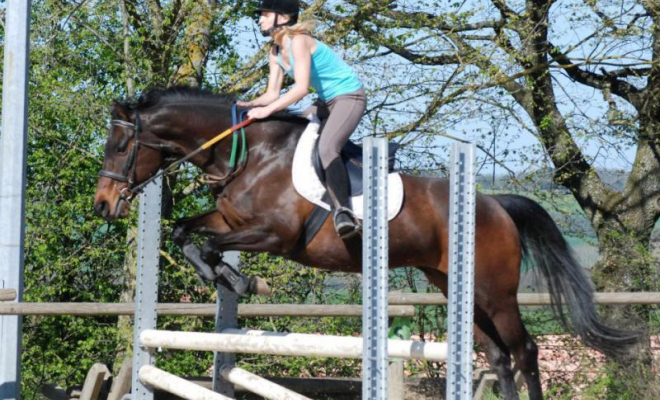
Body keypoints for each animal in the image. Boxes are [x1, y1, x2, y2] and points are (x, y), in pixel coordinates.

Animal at [94, 87, 640, 400]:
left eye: (120, 146)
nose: (103, 206)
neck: (252, 154)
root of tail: (496, 203)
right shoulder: (228, 219)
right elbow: (185, 233)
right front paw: (229, 278)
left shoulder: (275, 235)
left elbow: (208, 246)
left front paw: (243, 280)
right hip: (456, 288)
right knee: (496, 355)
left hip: (495, 291)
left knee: (524, 350)